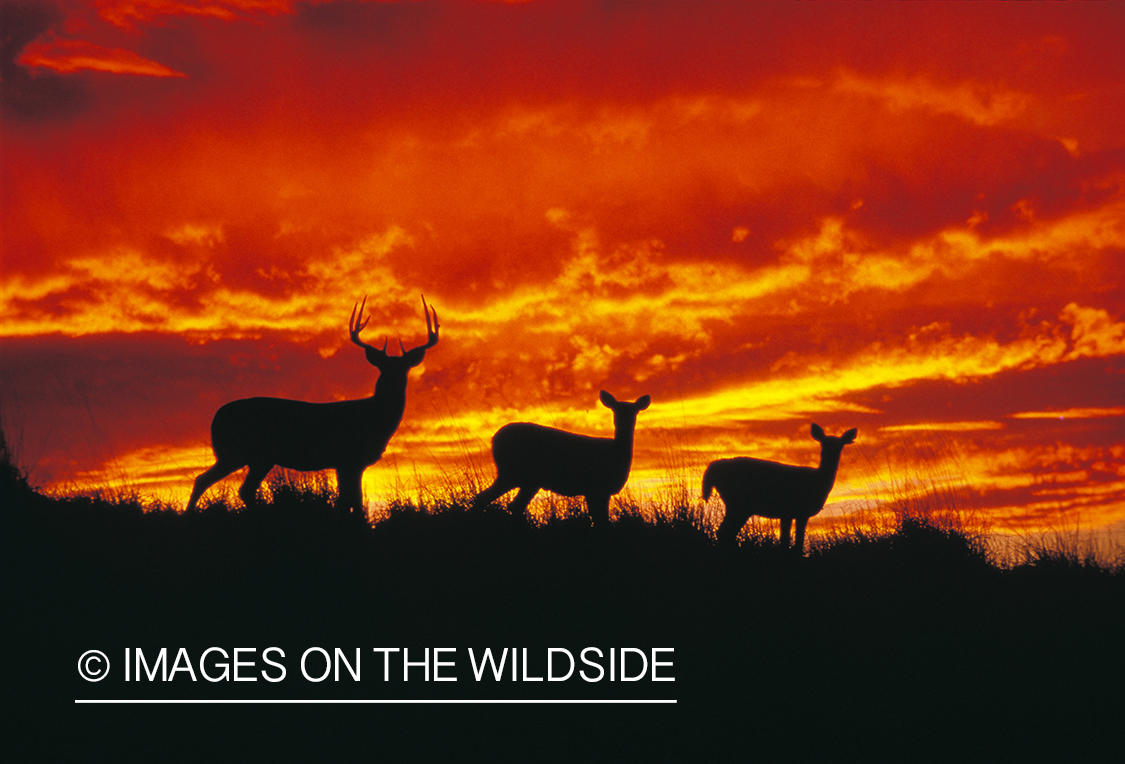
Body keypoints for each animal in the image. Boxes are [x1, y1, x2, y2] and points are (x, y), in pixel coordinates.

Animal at [472, 391, 652, 528]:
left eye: (634, 411)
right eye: (615, 410)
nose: (625, 421)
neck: (616, 453)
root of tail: (494, 440)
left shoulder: (597, 491)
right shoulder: (596, 488)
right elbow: (600, 520)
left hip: (525, 479)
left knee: (510, 504)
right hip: (514, 472)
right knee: (490, 499)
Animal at [706, 427, 855, 553]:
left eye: (840, 445)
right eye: (823, 443)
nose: (830, 454)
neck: (818, 481)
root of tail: (712, 469)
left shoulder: (789, 513)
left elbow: (788, 540)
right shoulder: (798, 511)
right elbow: (794, 542)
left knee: (725, 532)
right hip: (738, 503)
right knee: (724, 532)